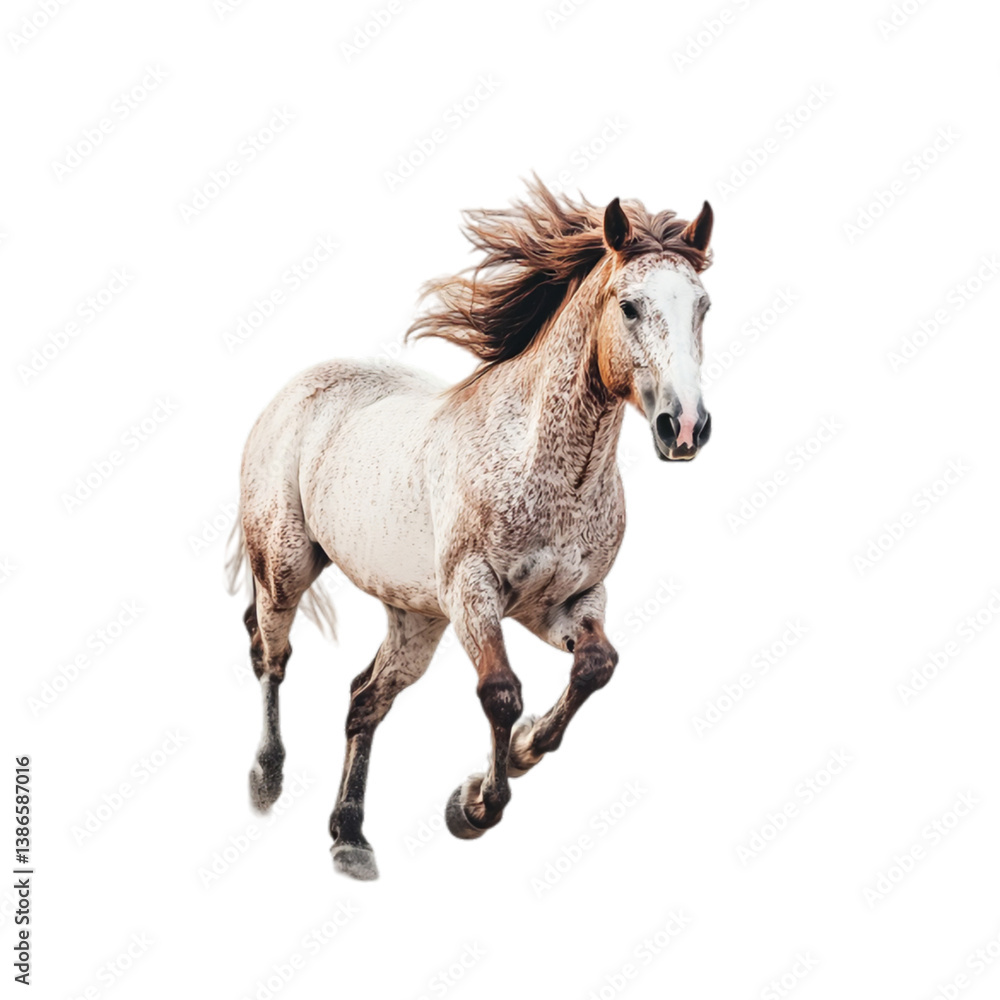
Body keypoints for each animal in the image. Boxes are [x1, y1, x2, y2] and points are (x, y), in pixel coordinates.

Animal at [228, 179, 715, 880]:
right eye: (628, 307)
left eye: (702, 306)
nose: (686, 428)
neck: (551, 470)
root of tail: (293, 391)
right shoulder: (473, 593)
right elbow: (501, 693)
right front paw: (477, 805)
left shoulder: (565, 601)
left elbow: (597, 665)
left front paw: (523, 751)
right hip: (287, 566)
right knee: (272, 654)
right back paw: (267, 781)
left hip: (415, 617)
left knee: (365, 698)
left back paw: (350, 837)